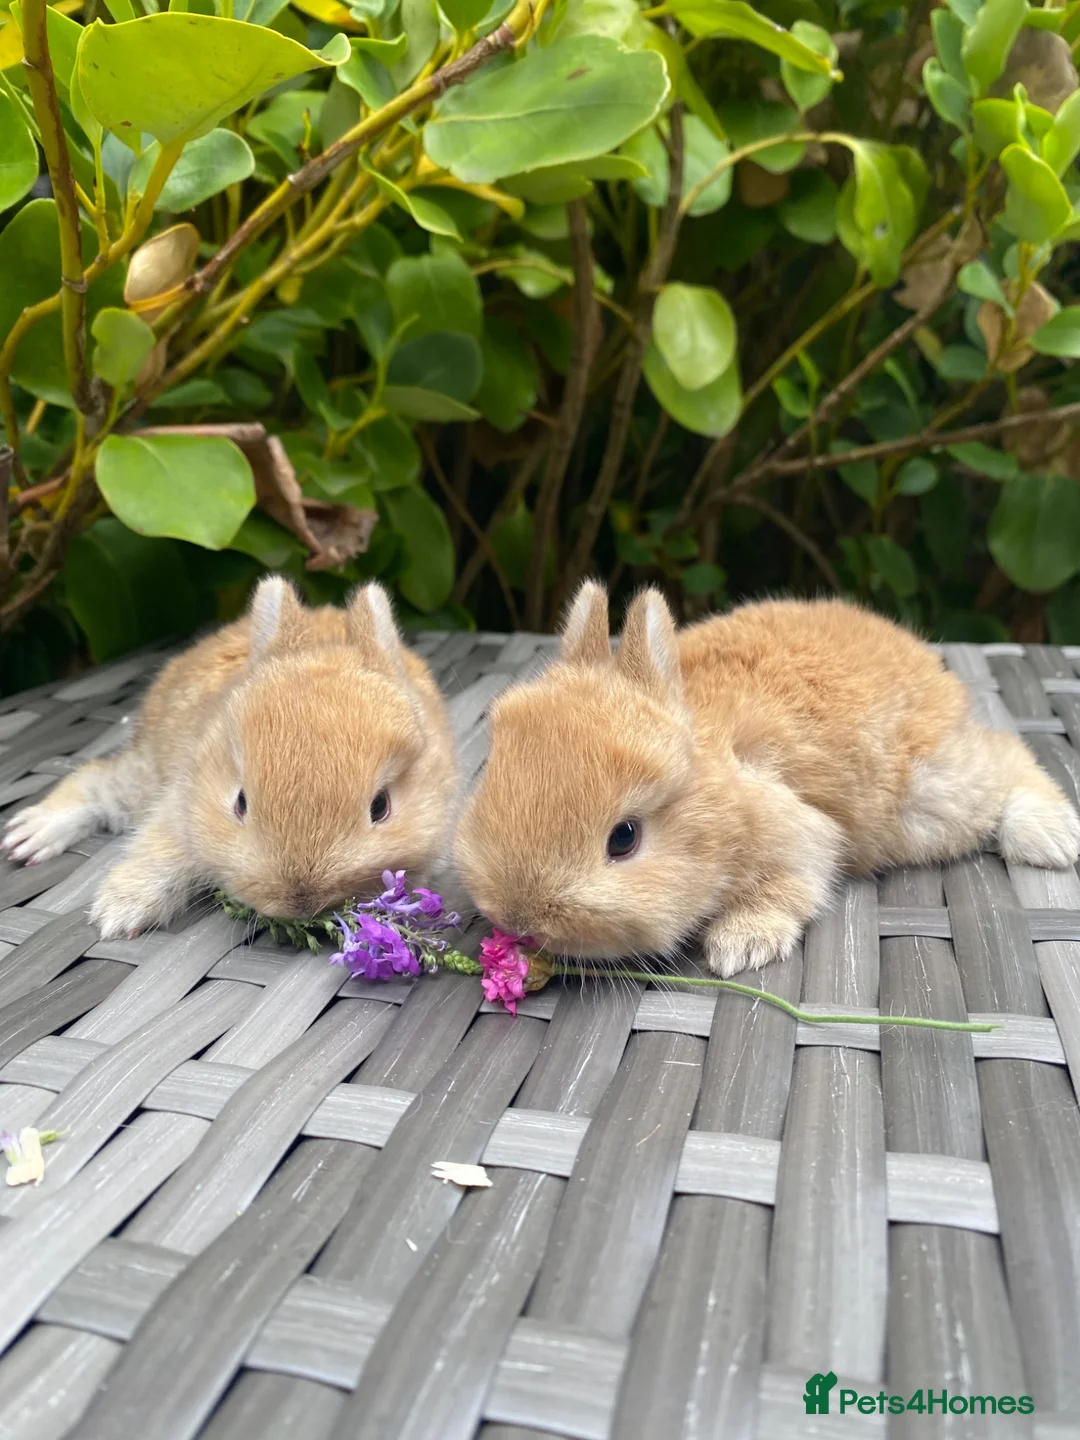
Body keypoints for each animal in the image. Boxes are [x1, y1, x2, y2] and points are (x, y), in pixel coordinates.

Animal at [2, 576, 457, 940]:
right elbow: (160, 851)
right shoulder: (180, 804)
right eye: (240, 803)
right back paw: (30, 836)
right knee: (95, 780)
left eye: (381, 807)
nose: (300, 899)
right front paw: (118, 914)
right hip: (147, 773)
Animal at [454, 581, 1080, 978]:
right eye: (493, 772)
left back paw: (1052, 839)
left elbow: (791, 885)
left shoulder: (804, 833)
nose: (518, 919)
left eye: (624, 838)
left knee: (1008, 756)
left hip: (930, 798)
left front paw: (740, 945)